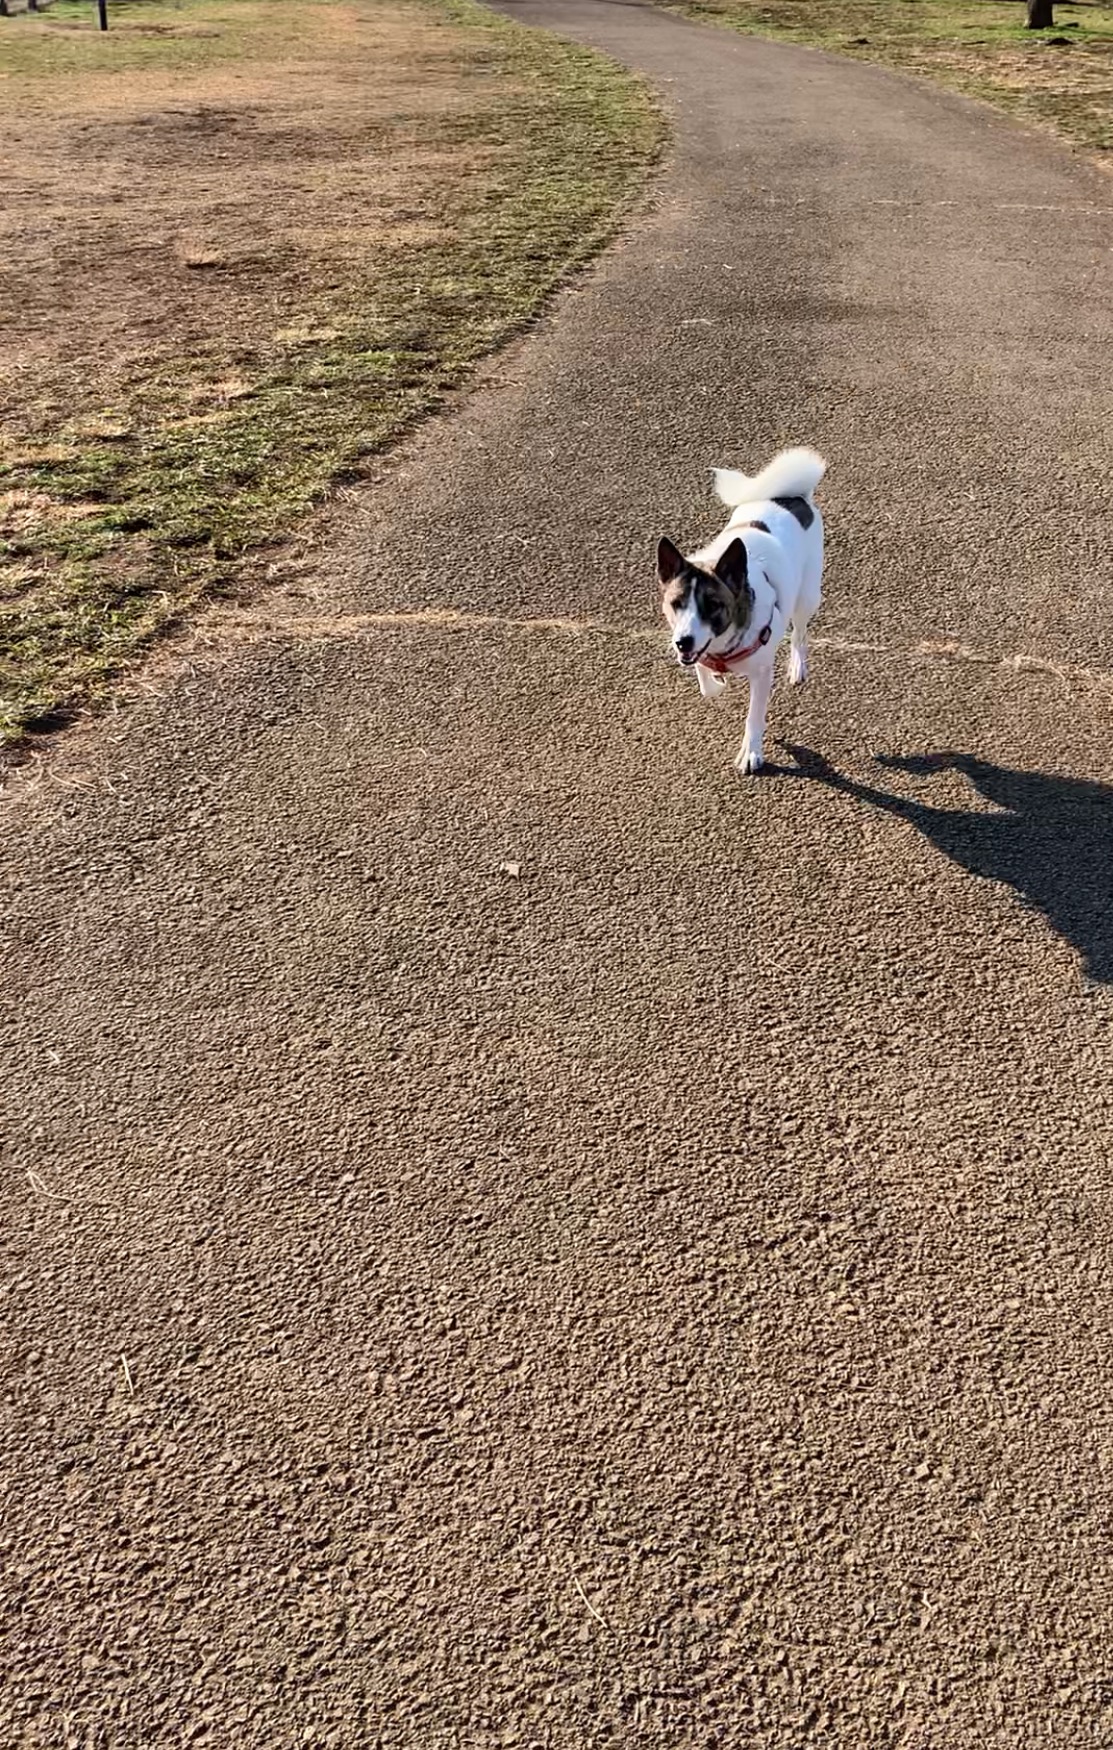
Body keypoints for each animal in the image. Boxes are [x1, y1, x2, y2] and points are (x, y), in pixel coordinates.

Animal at [661, 444, 826, 773]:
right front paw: (716, 682)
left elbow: (754, 717)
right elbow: (705, 680)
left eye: (713, 605)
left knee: (800, 633)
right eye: (676, 604)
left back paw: (797, 666)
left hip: (807, 596)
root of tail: (793, 498)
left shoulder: (761, 674)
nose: (682, 642)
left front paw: (751, 752)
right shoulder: (698, 652)